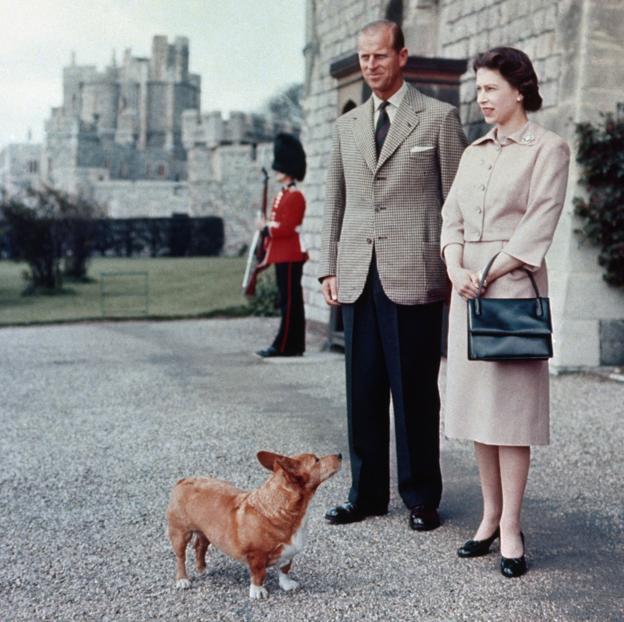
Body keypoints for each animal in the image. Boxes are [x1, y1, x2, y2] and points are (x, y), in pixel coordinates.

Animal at [166, 454, 342, 600]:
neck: (280, 509)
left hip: (206, 532)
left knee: (200, 547)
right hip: (180, 534)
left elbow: (284, 569)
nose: (340, 455)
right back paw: (182, 580)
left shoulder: (288, 553)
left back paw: (203, 569)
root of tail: (183, 480)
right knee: (180, 557)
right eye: (316, 460)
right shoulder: (256, 556)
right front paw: (257, 591)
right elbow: (259, 574)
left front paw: (286, 584)